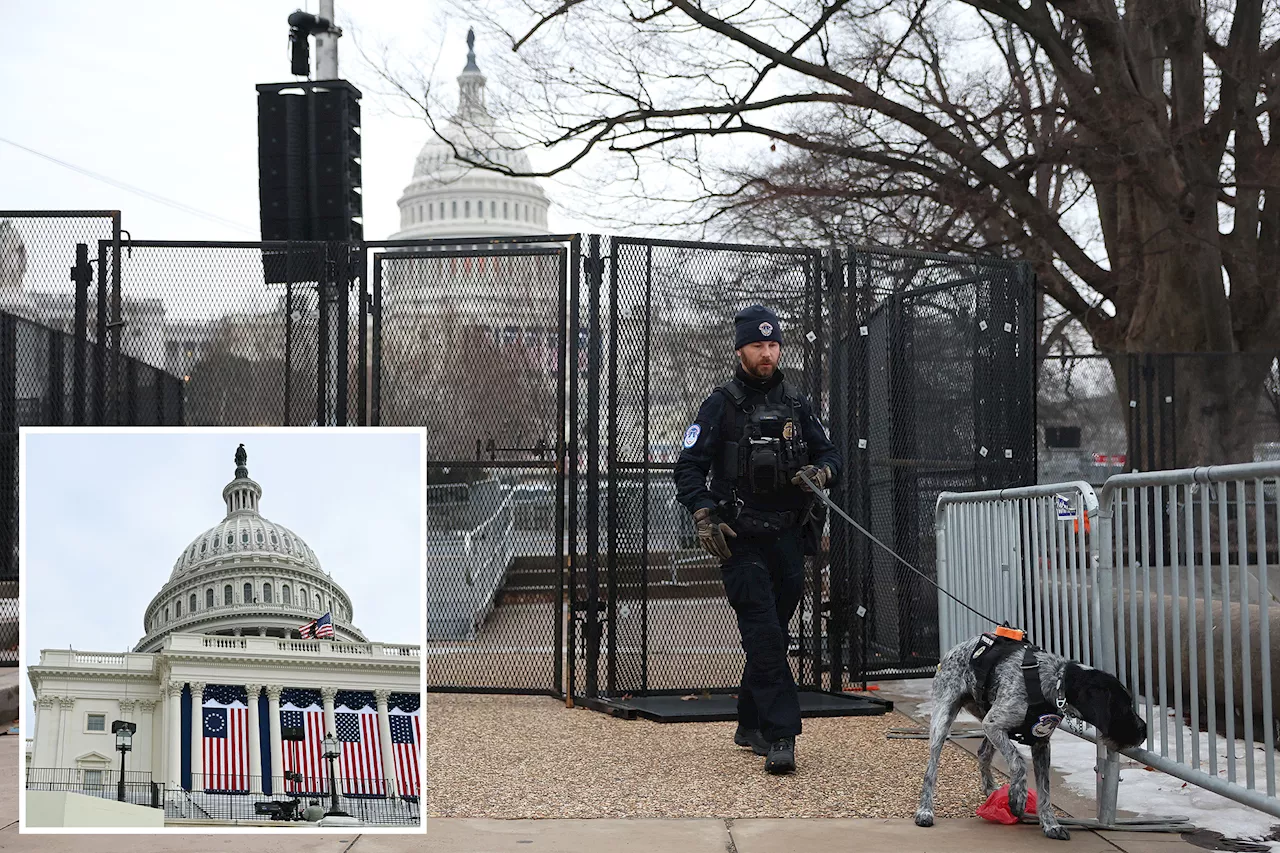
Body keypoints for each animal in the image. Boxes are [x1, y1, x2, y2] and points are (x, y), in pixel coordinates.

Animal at [916, 630, 1146, 835]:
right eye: (1124, 706)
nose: (1144, 731)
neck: (1054, 681)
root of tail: (953, 650)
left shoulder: (1040, 743)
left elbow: (1045, 790)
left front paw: (1050, 824)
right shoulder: (994, 725)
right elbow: (1018, 762)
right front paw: (1018, 797)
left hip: (986, 715)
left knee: (983, 753)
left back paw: (991, 790)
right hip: (943, 719)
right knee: (931, 770)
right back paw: (925, 811)